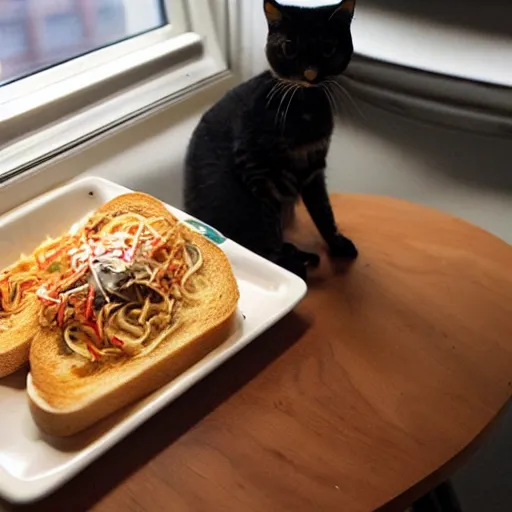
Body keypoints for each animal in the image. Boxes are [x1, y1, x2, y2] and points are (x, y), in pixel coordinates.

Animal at [183, 1, 356, 280]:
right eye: (288, 47)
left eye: (328, 47)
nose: (310, 73)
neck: (302, 109)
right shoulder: (257, 172)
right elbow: (269, 223)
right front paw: (285, 265)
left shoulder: (314, 167)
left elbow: (324, 211)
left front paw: (337, 244)